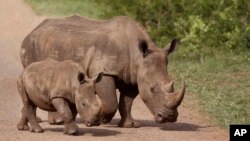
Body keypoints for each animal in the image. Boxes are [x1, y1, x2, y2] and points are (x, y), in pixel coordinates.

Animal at [20, 15, 186, 128]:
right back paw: (57, 121)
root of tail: (34, 29)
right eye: (152, 89)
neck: (138, 56)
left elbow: (127, 102)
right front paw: (103, 121)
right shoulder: (104, 71)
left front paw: (130, 125)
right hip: (30, 46)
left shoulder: (134, 77)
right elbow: (111, 101)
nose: (169, 118)